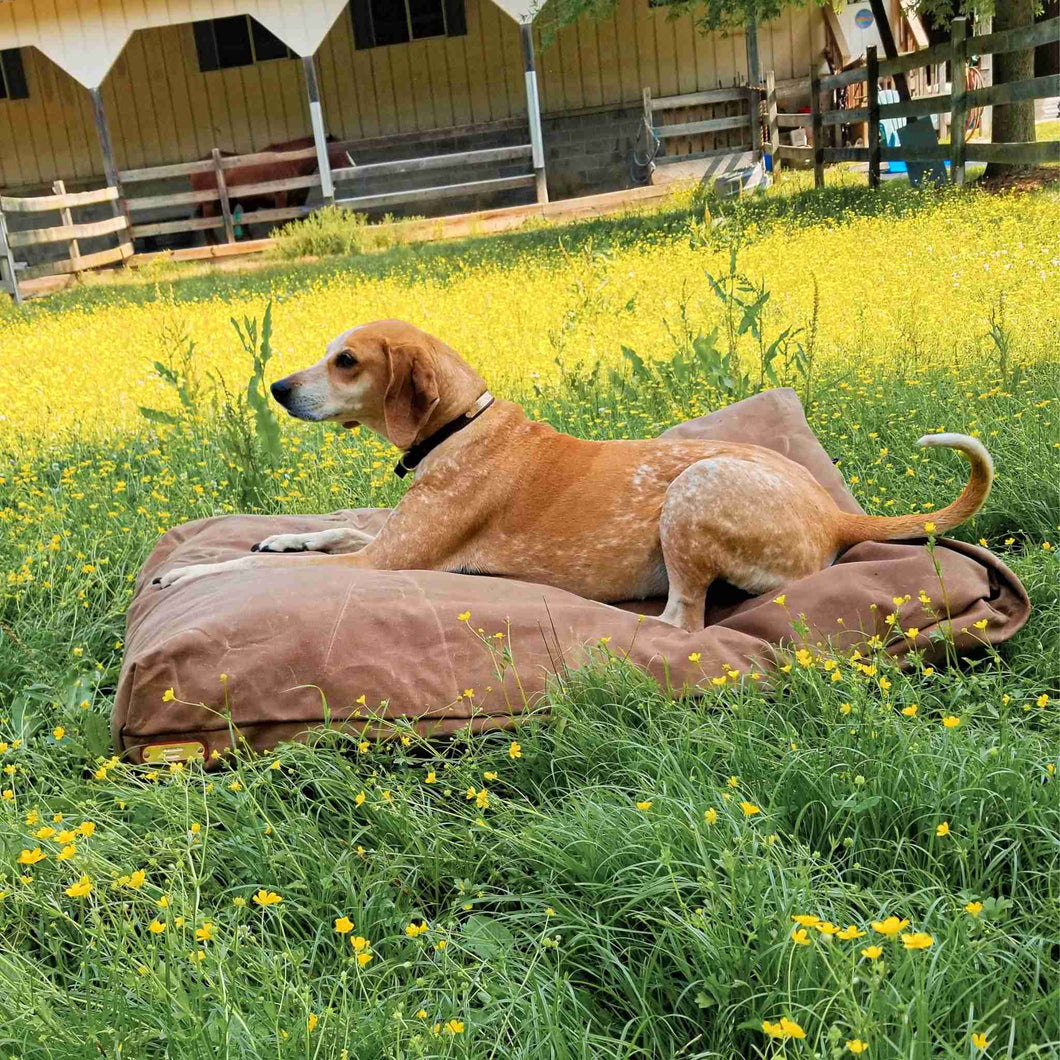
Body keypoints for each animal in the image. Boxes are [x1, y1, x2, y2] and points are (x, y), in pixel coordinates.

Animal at [154, 315, 992, 627]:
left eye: (347, 361)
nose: (276, 388)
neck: (460, 425)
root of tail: (836, 513)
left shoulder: (385, 565)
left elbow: (240, 570)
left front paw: (190, 573)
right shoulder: (387, 539)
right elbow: (325, 531)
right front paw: (280, 538)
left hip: (693, 491)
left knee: (680, 622)